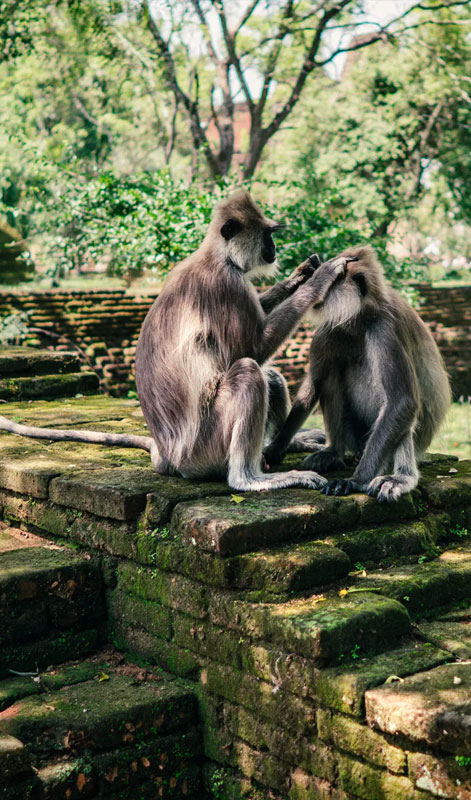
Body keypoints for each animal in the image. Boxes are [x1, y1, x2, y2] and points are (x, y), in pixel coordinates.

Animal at [0, 190, 350, 492]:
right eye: (267, 235)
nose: (274, 248)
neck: (217, 255)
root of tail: (169, 457)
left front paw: (299, 275)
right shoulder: (226, 284)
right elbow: (251, 349)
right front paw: (318, 279)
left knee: (271, 376)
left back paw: (284, 445)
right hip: (206, 447)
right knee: (250, 371)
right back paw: (249, 479)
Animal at [263, 245, 451, 502]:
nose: (311, 286)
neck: (360, 317)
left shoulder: (384, 328)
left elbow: (402, 402)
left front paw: (356, 481)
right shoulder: (330, 327)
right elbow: (314, 384)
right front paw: (277, 447)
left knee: (401, 411)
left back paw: (402, 476)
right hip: (353, 434)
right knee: (330, 374)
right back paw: (334, 452)